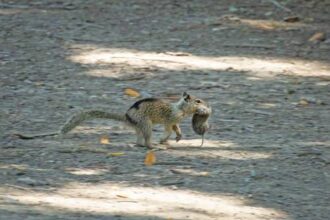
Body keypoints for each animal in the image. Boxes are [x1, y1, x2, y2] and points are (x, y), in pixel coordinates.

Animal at [15, 92, 210, 149]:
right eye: (198, 101)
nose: (207, 105)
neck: (181, 108)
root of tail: (127, 117)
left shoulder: (176, 120)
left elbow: (176, 128)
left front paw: (178, 136)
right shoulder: (170, 119)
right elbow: (169, 128)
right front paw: (165, 139)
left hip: (140, 127)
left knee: (138, 140)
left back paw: (142, 144)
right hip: (146, 124)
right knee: (146, 139)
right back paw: (153, 146)